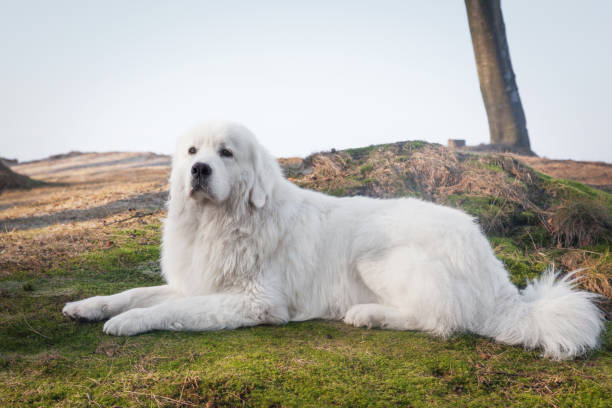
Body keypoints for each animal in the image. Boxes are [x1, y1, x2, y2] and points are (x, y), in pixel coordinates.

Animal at [63, 121, 604, 360]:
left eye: (226, 153)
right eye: (193, 151)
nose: (198, 171)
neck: (221, 223)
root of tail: (499, 279)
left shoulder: (255, 302)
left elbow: (168, 310)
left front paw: (129, 323)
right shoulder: (195, 282)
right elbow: (134, 293)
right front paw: (87, 306)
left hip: (377, 258)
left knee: (441, 319)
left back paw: (369, 315)